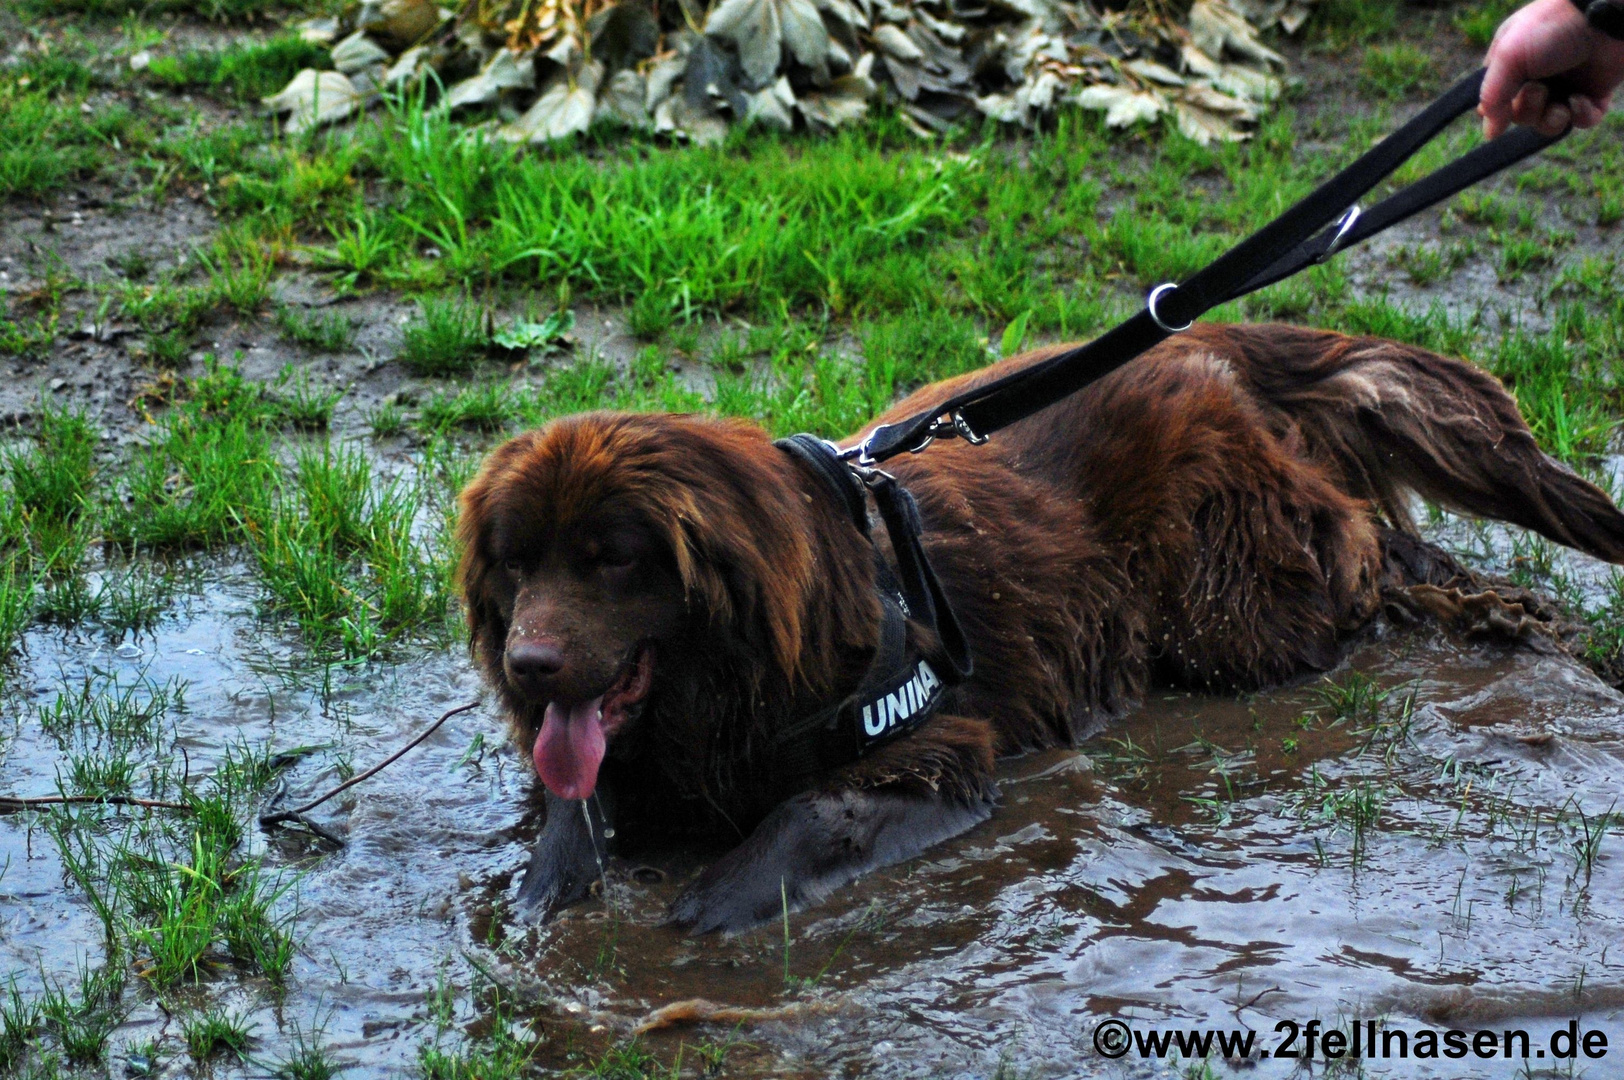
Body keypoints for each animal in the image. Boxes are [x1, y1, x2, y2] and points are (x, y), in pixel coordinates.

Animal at [454, 318, 1624, 928]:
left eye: (614, 560)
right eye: (516, 563)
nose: (531, 660)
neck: (731, 678)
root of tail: (1199, 332)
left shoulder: (937, 741)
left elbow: (808, 810)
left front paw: (711, 905)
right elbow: (577, 802)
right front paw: (545, 889)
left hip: (1231, 602)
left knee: (1362, 546)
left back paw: (1491, 610)